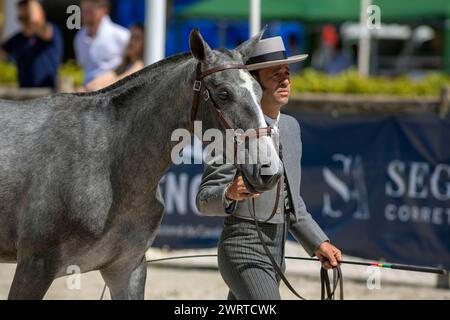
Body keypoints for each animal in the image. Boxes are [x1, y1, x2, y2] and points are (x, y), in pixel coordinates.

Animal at [0, 30, 282, 300]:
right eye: (223, 94)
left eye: (259, 91)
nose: (270, 171)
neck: (108, 165)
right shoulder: (35, 267)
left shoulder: (126, 268)